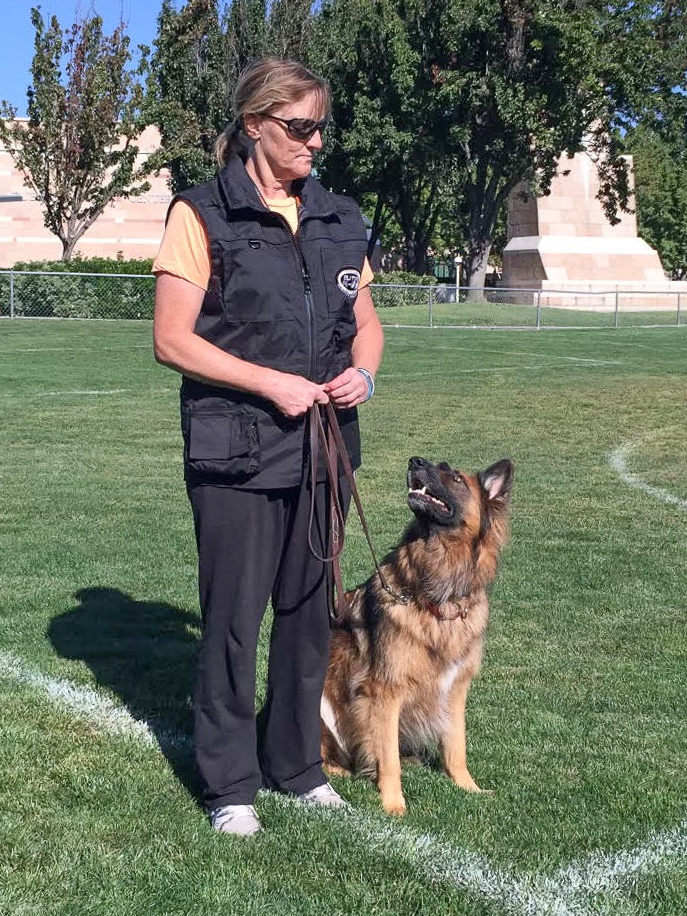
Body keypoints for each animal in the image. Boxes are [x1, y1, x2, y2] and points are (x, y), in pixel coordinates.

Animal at [320, 456, 512, 816]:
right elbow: (389, 759)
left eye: (454, 476)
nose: (415, 461)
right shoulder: (385, 691)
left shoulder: (455, 689)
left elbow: (456, 746)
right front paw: (394, 804)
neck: (437, 597)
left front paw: (469, 787)